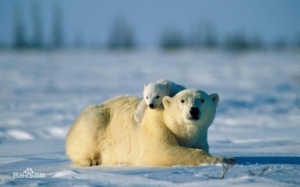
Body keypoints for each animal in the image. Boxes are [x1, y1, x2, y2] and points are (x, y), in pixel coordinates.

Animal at [66, 89, 234, 167]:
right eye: (182, 100)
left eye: (202, 100)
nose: (194, 110)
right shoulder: (157, 127)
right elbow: (163, 151)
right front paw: (225, 158)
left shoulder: (200, 136)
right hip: (95, 119)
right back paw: (91, 160)